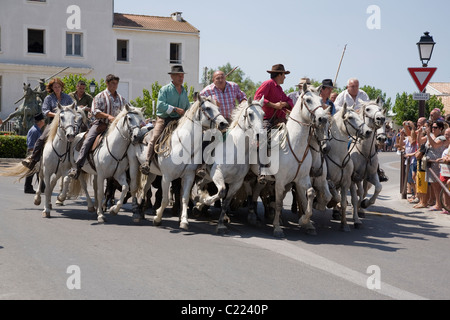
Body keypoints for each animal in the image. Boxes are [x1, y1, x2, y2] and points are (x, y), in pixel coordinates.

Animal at [132, 96, 227, 229]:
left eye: (218, 107)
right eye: (207, 108)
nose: (224, 123)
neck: (182, 144)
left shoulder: (188, 176)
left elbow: (185, 198)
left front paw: (184, 221)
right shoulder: (166, 177)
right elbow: (165, 199)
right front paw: (157, 218)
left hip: (152, 173)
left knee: (145, 190)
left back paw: (141, 212)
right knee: (139, 189)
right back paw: (138, 213)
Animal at [196, 96, 266, 234]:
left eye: (263, 114)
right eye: (250, 114)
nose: (260, 135)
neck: (236, 149)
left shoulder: (236, 183)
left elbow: (226, 202)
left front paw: (220, 224)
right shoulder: (218, 174)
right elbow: (221, 192)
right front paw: (204, 201)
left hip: (207, 177)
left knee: (199, 184)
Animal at [251, 85, 332, 238]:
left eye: (321, 100)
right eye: (308, 100)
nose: (322, 118)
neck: (294, 145)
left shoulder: (302, 179)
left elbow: (310, 194)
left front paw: (305, 221)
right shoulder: (280, 181)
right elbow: (278, 203)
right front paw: (277, 228)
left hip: (262, 179)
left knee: (257, 190)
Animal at [326, 102, 372, 230]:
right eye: (350, 117)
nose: (368, 131)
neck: (338, 155)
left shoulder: (346, 182)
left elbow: (344, 202)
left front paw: (345, 224)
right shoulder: (327, 180)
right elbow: (336, 197)